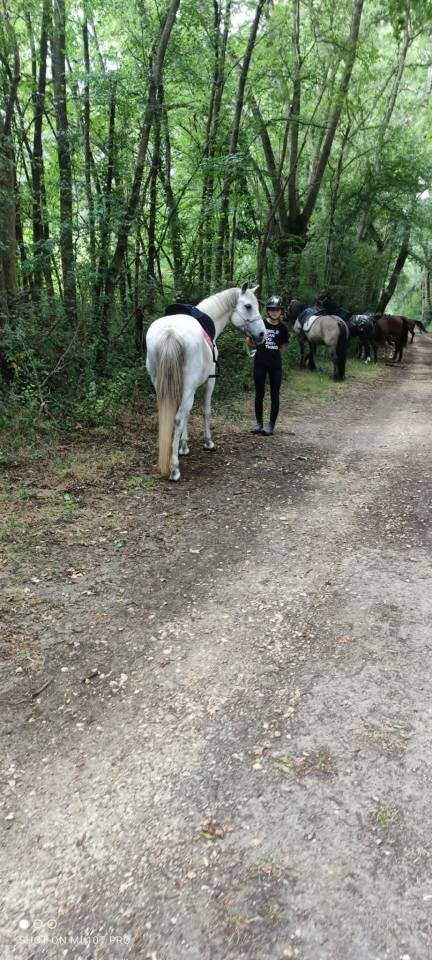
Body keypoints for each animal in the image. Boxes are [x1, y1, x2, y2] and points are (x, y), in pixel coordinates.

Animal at [146, 284, 266, 481]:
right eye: (248, 306)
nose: (262, 334)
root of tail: (170, 332)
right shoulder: (209, 382)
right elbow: (205, 411)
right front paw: (208, 442)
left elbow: (187, 415)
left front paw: (183, 446)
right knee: (177, 418)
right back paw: (174, 469)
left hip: (160, 384)